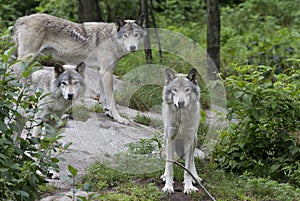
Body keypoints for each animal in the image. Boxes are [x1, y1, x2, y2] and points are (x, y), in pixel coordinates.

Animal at [12, 13, 146, 124]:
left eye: (136, 35)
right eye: (125, 35)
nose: (133, 47)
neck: (111, 39)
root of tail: (21, 19)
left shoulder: (101, 71)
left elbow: (103, 97)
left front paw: (108, 113)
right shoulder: (107, 72)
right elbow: (111, 99)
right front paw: (119, 118)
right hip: (27, 58)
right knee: (13, 69)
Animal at [161, 67, 203, 195]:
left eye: (187, 90)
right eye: (174, 90)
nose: (181, 103)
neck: (181, 117)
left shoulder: (189, 140)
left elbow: (188, 168)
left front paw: (189, 187)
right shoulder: (170, 138)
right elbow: (170, 167)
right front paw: (168, 187)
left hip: (195, 139)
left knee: (192, 159)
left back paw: (196, 177)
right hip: (166, 137)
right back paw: (164, 176)